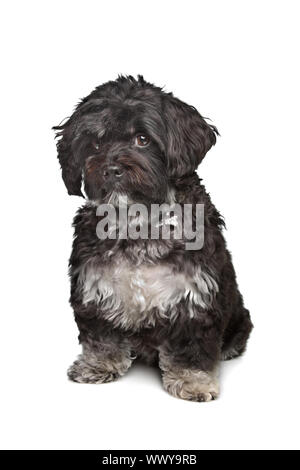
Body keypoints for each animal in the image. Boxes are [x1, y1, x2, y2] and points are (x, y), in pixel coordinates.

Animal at [54, 75, 253, 402]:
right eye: (95, 143)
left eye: (142, 139)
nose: (111, 169)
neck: (139, 224)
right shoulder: (95, 288)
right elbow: (100, 336)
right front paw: (97, 365)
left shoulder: (195, 298)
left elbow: (192, 348)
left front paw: (193, 381)